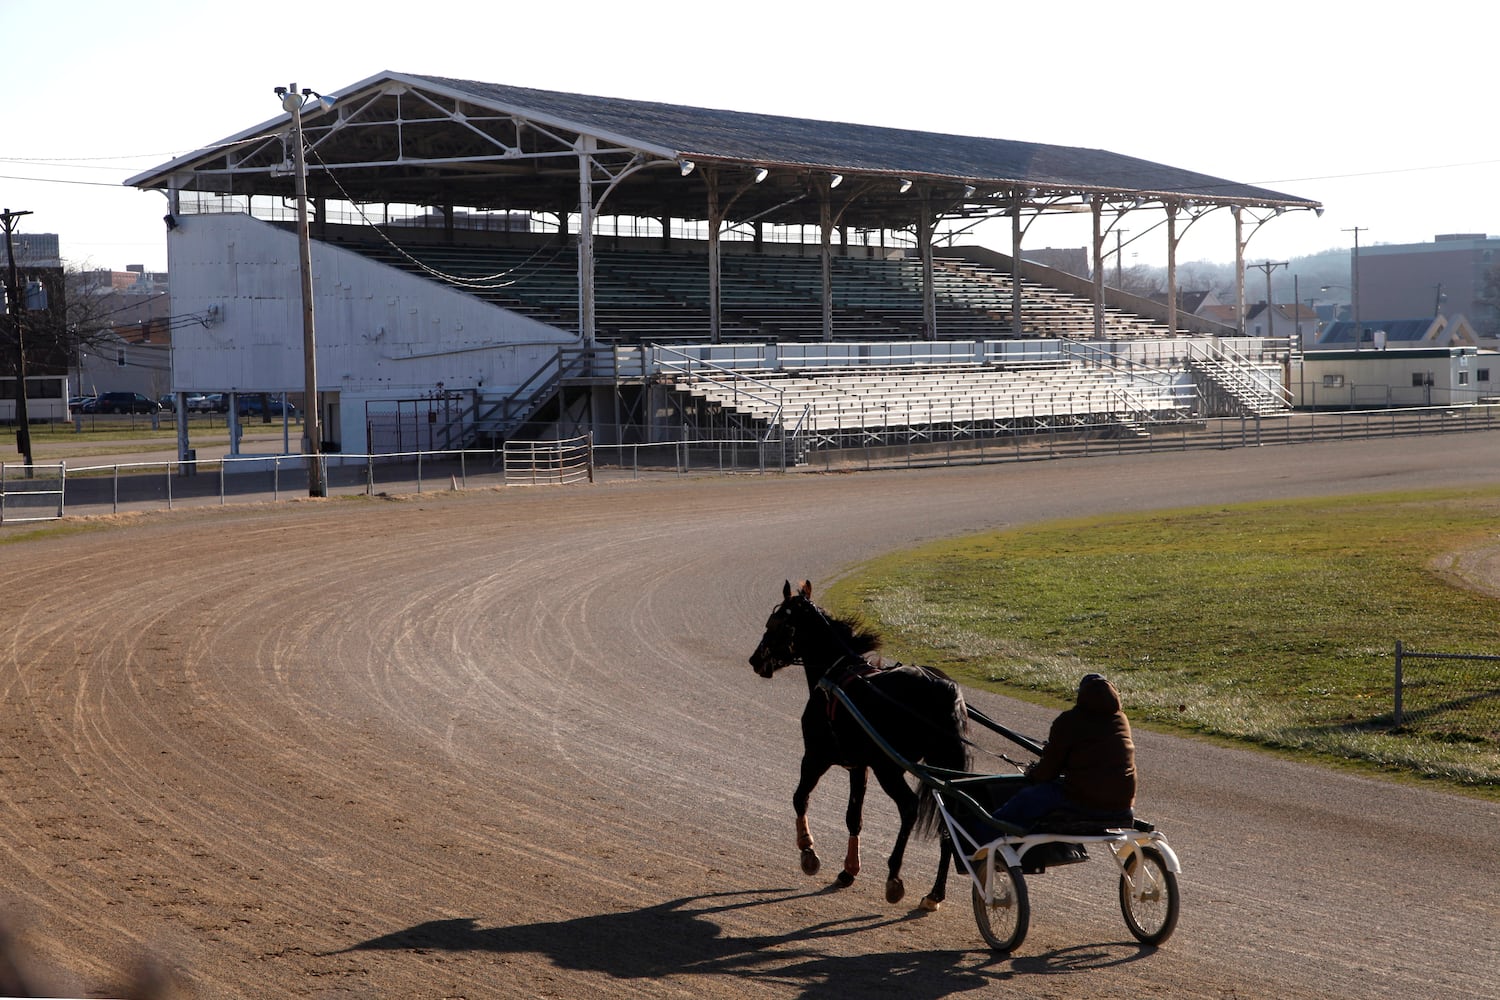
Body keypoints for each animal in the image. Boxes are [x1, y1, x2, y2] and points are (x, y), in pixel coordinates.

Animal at [750, 575, 972, 911]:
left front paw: (808, 851)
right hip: (939, 768)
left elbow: (800, 798)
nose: (755, 660)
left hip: (889, 767)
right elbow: (854, 816)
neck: (835, 673)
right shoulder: (859, 766)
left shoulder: (816, 755)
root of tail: (944, 687)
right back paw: (934, 894)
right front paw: (848, 870)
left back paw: (894, 877)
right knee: (949, 826)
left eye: (774, 624)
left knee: (909, 807)